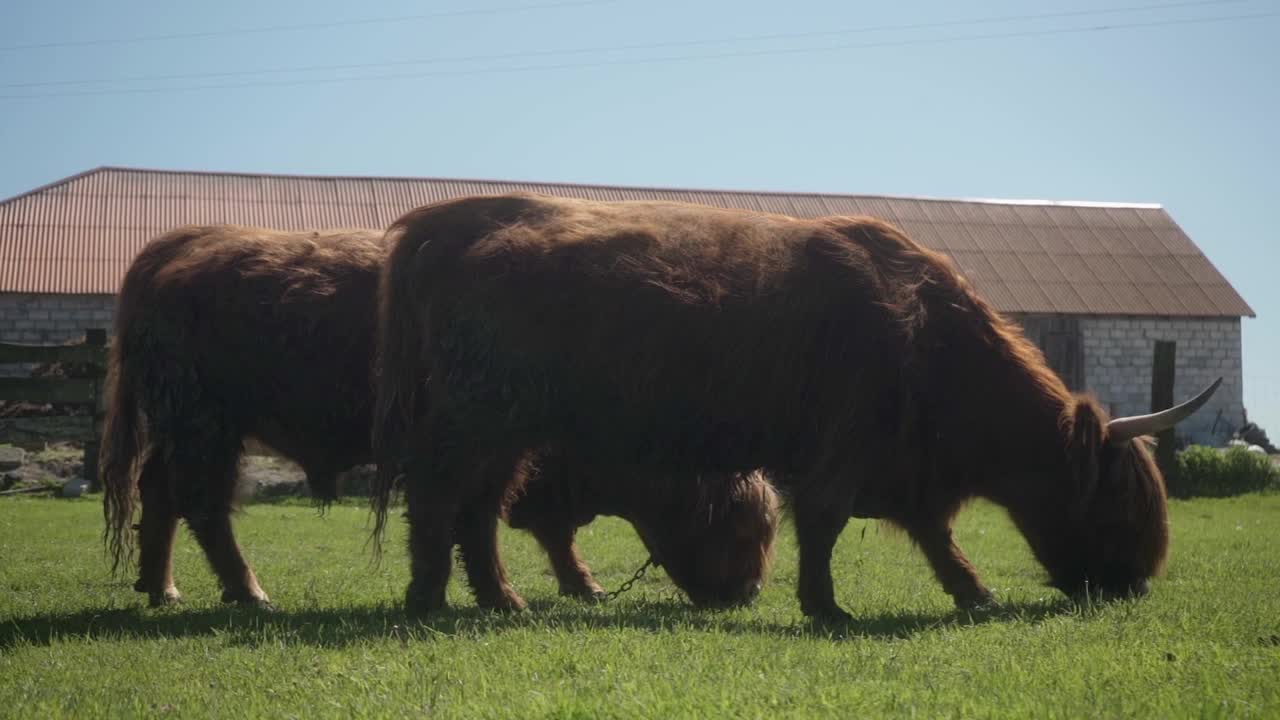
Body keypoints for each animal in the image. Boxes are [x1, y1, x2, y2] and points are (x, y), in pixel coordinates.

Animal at [99, 222, 773, 604]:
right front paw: (520, 592)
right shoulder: (502, 450)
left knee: (159, 491)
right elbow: (487, 519)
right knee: (203, 504)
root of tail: (183, 245)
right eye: (742, 527)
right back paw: (248, 592)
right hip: (206, 427)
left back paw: (161, 587)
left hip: (187, 429)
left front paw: (564, 588)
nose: (748, 593)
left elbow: (516, 525)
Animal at [371, 193, 1218, 620]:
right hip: (475, 418)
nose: (1136, 585)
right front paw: (826, 605)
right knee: (440, 499)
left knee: (480, 509)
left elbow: (933, 532)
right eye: (1121, 503)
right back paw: (427, 599)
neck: (932, 339)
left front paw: (971, 589)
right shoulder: (841, 446)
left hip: (507, 430)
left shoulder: (903, 467)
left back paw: (499, 598)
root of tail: (447, 223)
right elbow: (828, 522)